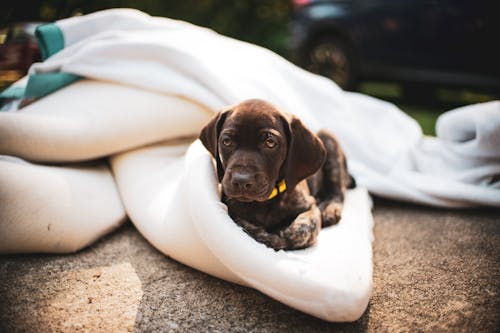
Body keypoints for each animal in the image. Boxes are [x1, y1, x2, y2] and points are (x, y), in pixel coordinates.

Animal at [197, 98, 354, 249]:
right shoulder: (231, 208)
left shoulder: (310, 205)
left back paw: (329, 208)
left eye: (270, 143)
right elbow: (243, 223)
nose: (241, 181)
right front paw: (267, 237)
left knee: (337, 190)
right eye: (227, 141)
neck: (266, 202)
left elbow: (305, 227)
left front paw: (284, 235)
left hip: (329, 138)